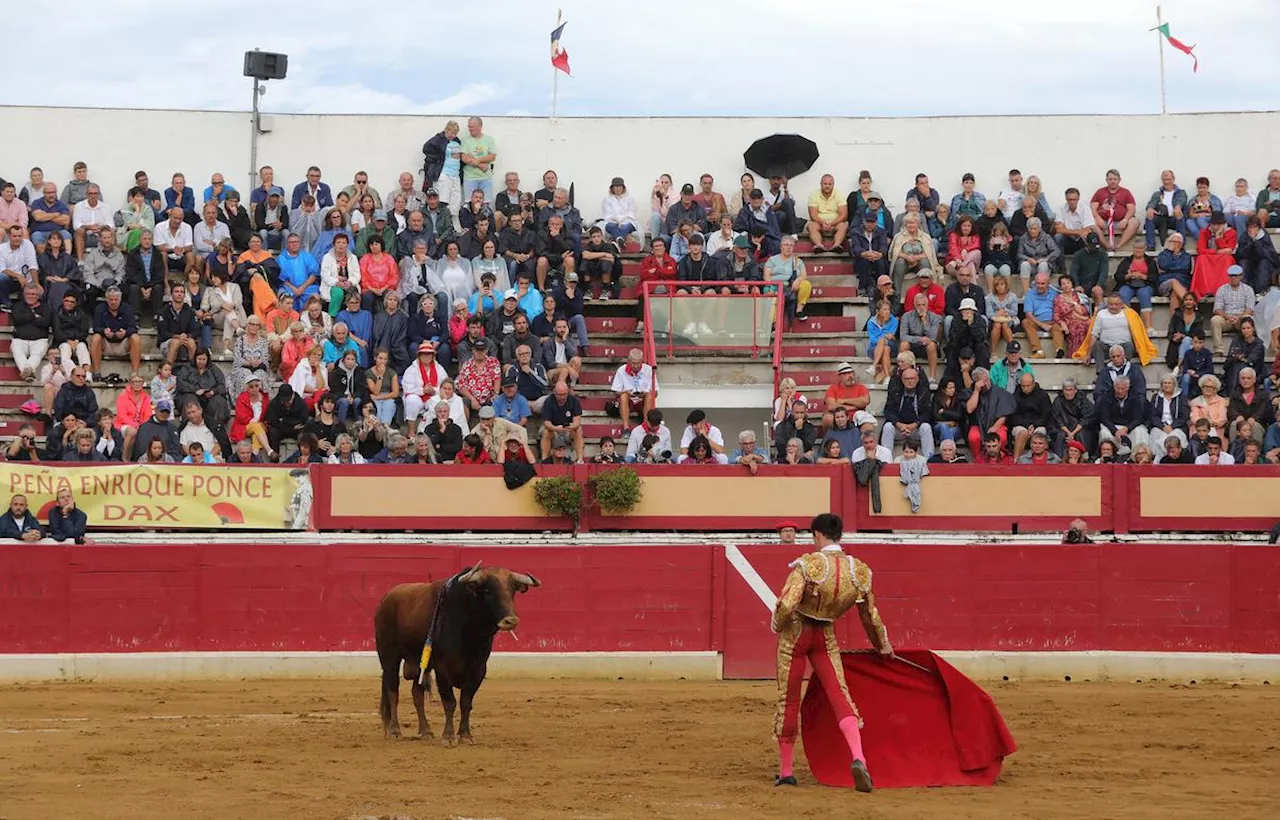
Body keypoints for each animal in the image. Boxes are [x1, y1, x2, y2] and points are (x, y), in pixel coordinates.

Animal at [373, 562, 545, 741]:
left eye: (512, 590)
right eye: (488, 591)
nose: (510, 620)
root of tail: (386, 599)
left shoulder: (478, 669)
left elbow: (465, 702)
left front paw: (465, 735)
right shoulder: (442, 668)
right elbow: (450, 702)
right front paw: (448, 736)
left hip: (418, 662)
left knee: (417, 693)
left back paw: (426, 731)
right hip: (389, 657)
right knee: (393, 691)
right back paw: (395, 730)